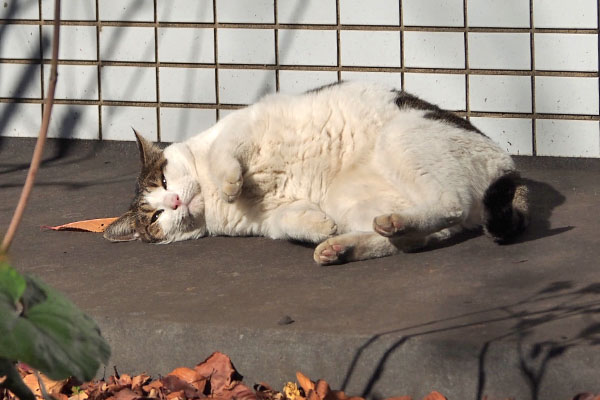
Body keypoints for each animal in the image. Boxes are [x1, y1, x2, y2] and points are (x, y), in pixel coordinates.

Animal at [105, 79, 528, 264]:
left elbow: (225, 154)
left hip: (401, 138)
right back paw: (347, 244)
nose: (175, 200)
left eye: (164, 181)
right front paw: (320, 227)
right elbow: (287, 224)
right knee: (423, 235)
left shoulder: (245, 126)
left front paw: (231, 183)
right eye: (155, 217)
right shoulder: (270, 221)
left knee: (449, 206)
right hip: (355, 200)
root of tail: (508, 166)